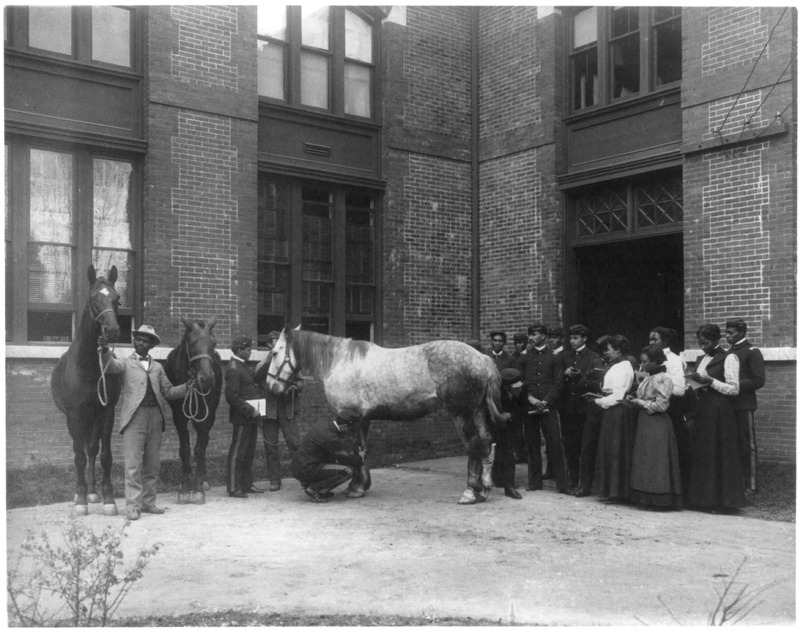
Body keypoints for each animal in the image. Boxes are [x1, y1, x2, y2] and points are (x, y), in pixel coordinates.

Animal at [51, 264, 122, 516]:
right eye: (93, 298)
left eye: (117, 298)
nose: (112, 330)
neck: (91, 366)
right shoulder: (75, 415)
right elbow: (78, 457)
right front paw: (80, 500)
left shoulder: (106, 411)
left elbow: (105, 455)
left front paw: (108, 499)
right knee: (80, 450)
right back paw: (81, 493)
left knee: (91, 449)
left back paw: (92, 492)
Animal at [165, 318, 222, 506]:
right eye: (191, 343)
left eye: (214, 343)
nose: (207, 379)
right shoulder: (178, 415)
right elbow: (184, 448)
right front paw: (184, 486)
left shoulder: (205, 414)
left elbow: (199, 448)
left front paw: (197, 487)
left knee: (204, 442)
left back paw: (203, 479)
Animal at [266, 328, 510, 506]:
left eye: (275, 352)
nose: (271, 386)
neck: (340, 361)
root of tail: (481, 358)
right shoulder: (363, 419)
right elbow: (361, 450)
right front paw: (361, 486)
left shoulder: (354, 418)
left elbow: (356, 450)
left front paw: (355, 488)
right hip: (478, 410)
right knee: (487, 442)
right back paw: (485, 490)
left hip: (461, 413)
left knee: (473, 445)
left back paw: (470, 493)